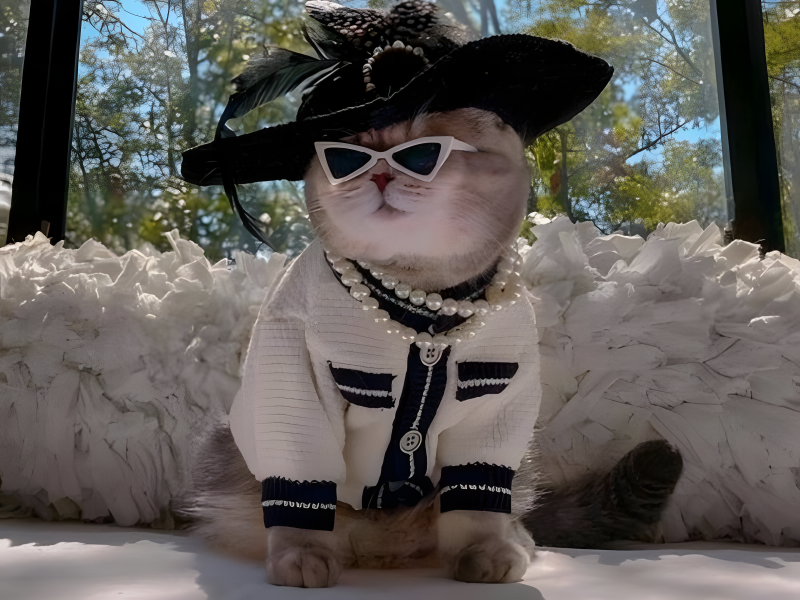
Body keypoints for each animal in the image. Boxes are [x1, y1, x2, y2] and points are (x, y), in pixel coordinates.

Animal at [178, 107, 683, 588]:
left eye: (421, 153)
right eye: (347, 157)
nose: (380, 175)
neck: (423, 303)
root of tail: (383, 541)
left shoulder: (494, 413)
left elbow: (475, 509)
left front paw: (486, 554)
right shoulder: (294, 393)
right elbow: (302, 500)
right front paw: (301, 557)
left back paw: (514, 540)